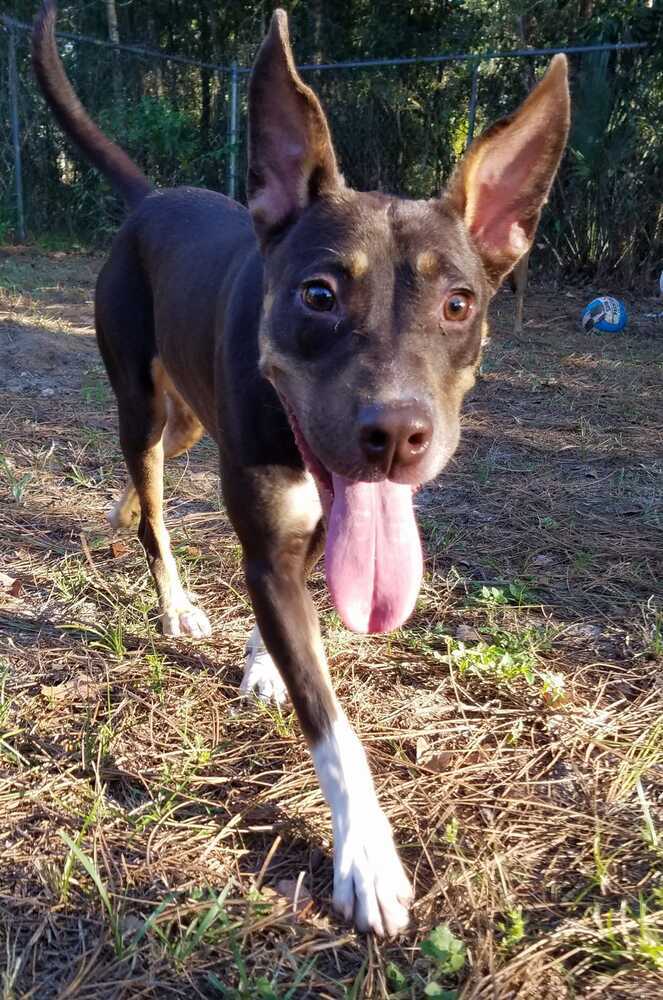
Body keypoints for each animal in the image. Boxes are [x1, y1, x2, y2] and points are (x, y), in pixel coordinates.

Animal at [32, 0, 572, 936]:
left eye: (458, 303)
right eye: (318, 294)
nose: (395, 435)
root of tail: (153, 197)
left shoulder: (316, 530)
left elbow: (290, 612)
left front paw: (260, 663)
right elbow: (331, 724)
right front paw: (366, 859)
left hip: (187, 419)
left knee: (151, 484)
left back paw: (113, 515)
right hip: (142, 406)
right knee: (153, 510)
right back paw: (172, 597)